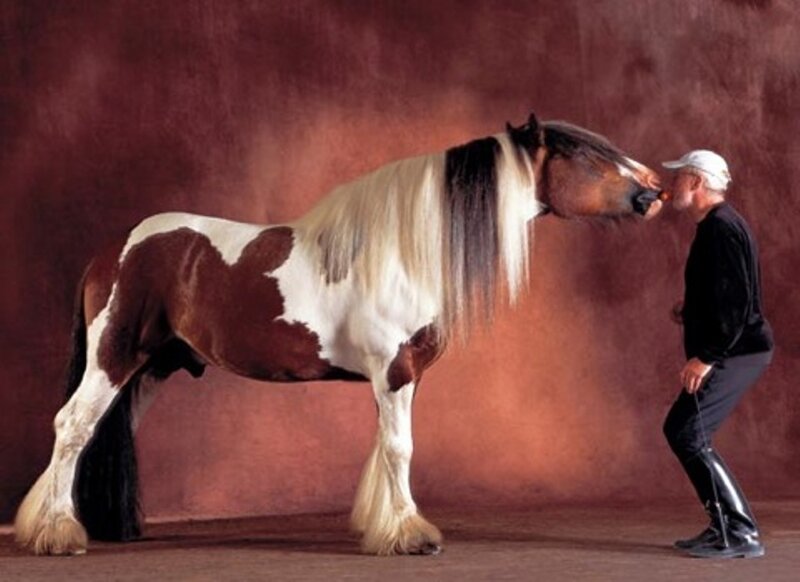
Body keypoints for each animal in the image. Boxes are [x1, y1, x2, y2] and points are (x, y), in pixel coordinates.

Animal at [15, 112, 664, 556]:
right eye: (588, 158)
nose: (653, 192)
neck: (403, 249)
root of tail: (113, 250)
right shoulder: (394, 371)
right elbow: (400, 448)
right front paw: (412, 535)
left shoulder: (398, 377)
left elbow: (386, 447)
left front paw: (384, 525)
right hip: (113, 357)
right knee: (72, 426)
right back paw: (56, 533)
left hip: (152, 368)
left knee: (104, 430)